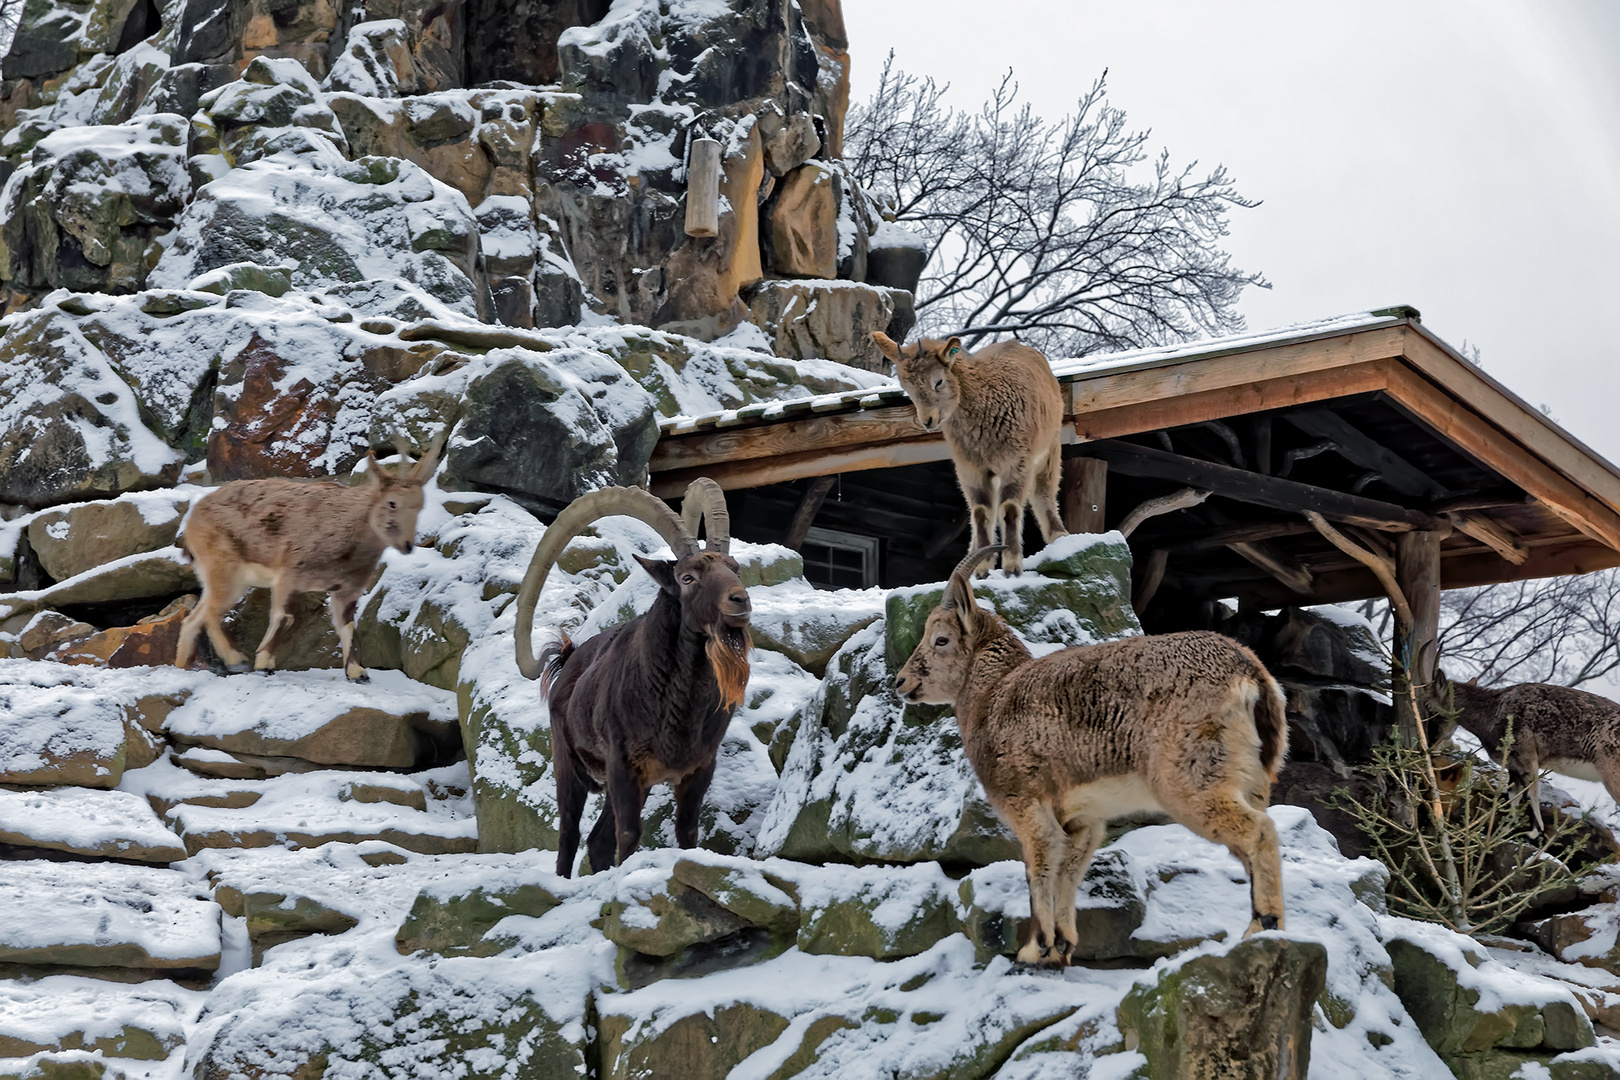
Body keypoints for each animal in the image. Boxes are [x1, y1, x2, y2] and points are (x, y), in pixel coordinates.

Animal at [175, 433, 443, 680]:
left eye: (420, 505)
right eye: (392, 503)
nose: (407, 545)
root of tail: (192, 522)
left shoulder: (347, 589)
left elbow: (347, 626)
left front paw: (357, 672)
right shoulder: (289, 575)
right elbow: (285, 617)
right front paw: (264, 663)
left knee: (194, 618)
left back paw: (183, 665)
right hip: (225, 568)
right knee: (210, 614)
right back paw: (235, 660)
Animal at [511, 482, 751, 880]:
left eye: (735, 569)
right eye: (687, 578)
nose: (740, 600)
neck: (676, 705)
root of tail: (569, 659)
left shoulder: (699, 767)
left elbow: (686, 831)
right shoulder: (624, 765)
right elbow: (629, 833)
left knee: (597, 840)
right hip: (568, 764)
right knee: (569, 834)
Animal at [894, 544, 1283, 965]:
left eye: (941, 639)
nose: (901, 681)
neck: (993, 694)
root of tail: (1251, 677)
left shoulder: (1025, 801)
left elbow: (1038, 867)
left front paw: (1034, 949)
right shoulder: (1083, 820)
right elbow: (1069, 872)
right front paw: (1061, 947)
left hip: (1192, 781)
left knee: (1260, 831)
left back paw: (1263, 927)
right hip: (1253, 781)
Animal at [1425, 667, 1620, 835]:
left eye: (1429, 707)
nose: (1431, 748)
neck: (1493, 713)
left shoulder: (1528, 758)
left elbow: (1531, 795)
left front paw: (1534, 832)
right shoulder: (1513, 766)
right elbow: (1514, 798)